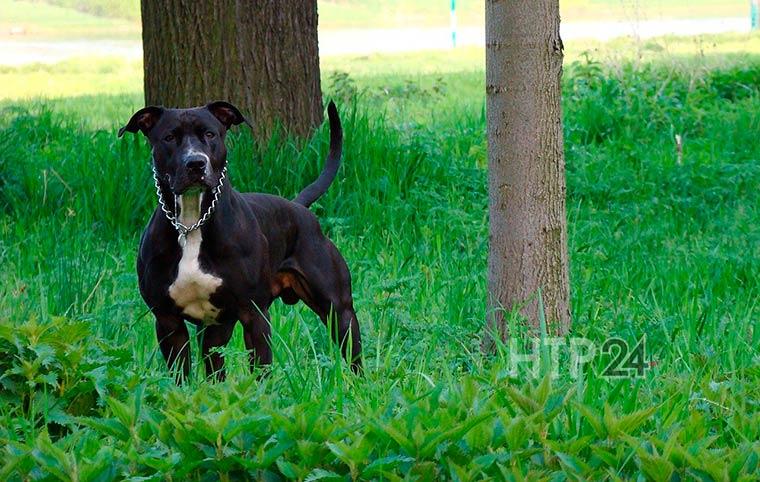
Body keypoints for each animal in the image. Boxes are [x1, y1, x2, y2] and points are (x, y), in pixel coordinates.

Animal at [121, 101, 362, 380]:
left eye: (210, 134)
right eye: (169, 137)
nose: (195, 163)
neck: (192, 224)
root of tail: (297, 207)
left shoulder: (254, 316)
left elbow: (261, 374)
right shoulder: (168, 322)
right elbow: (180, 377)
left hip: (339, 311)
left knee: (353, 354)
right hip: (215, 330)